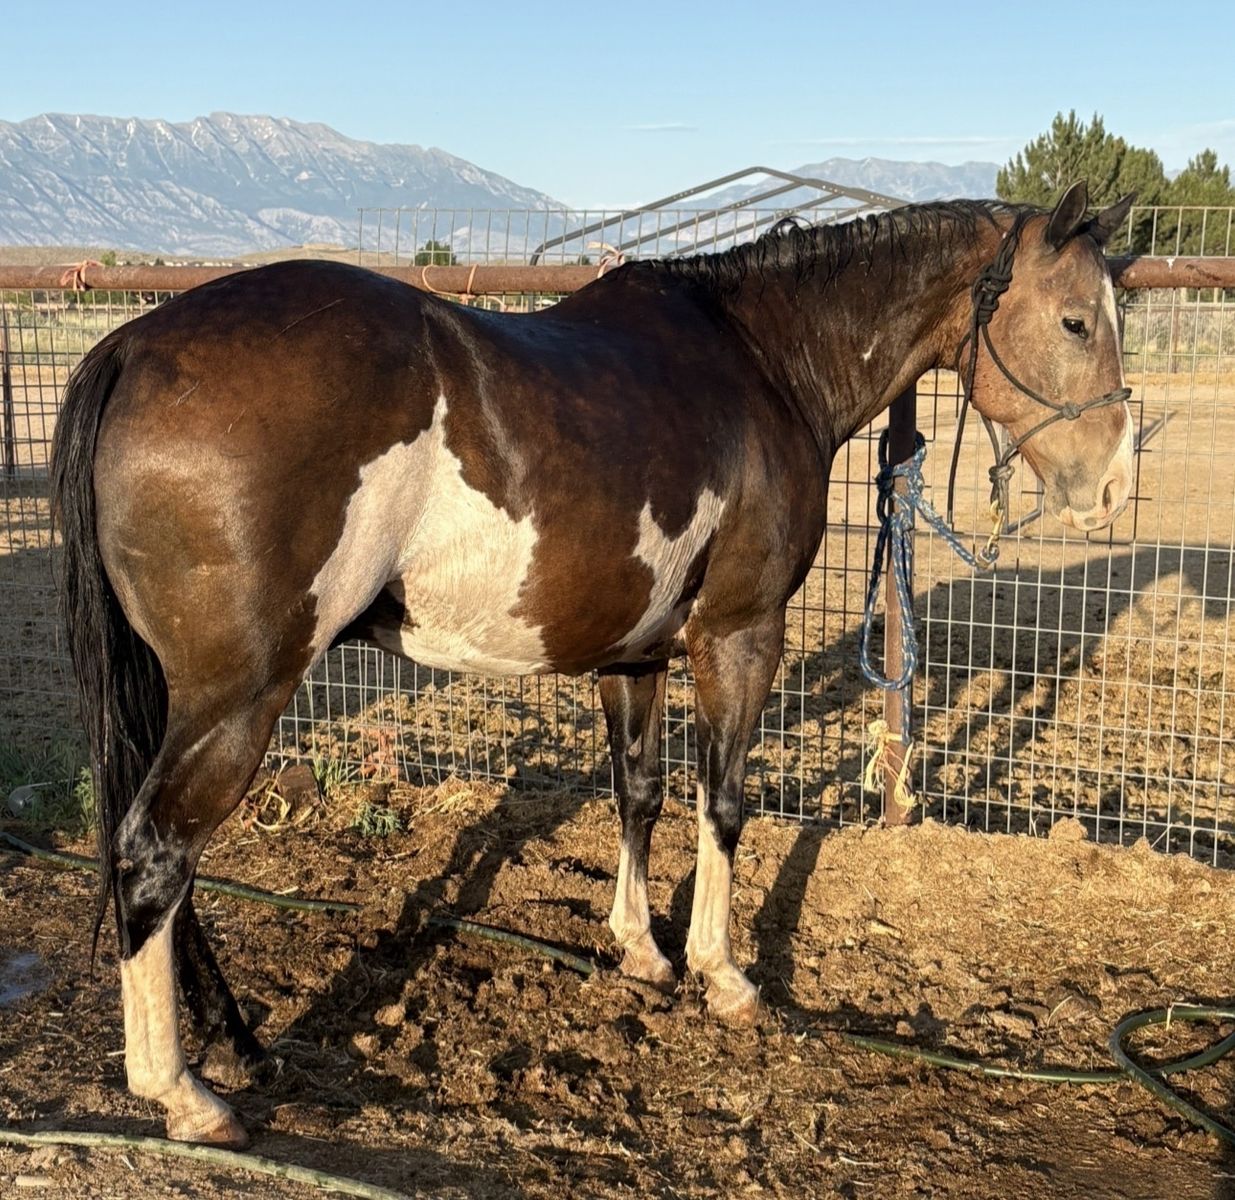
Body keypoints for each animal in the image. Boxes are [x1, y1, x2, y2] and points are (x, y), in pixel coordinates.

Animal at [50, 180, 1135, 1147]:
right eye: (1076, 320)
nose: (1111, 491)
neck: (760, 358)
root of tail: (134, 345)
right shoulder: (737, 635)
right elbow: (721, 803)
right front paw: (721, 975)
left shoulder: (636, 653)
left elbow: (638, 793)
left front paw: (640, 951)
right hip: (238, 697)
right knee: (156, 853)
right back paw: (183, 1093)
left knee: (159, 861)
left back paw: (237, 1045)